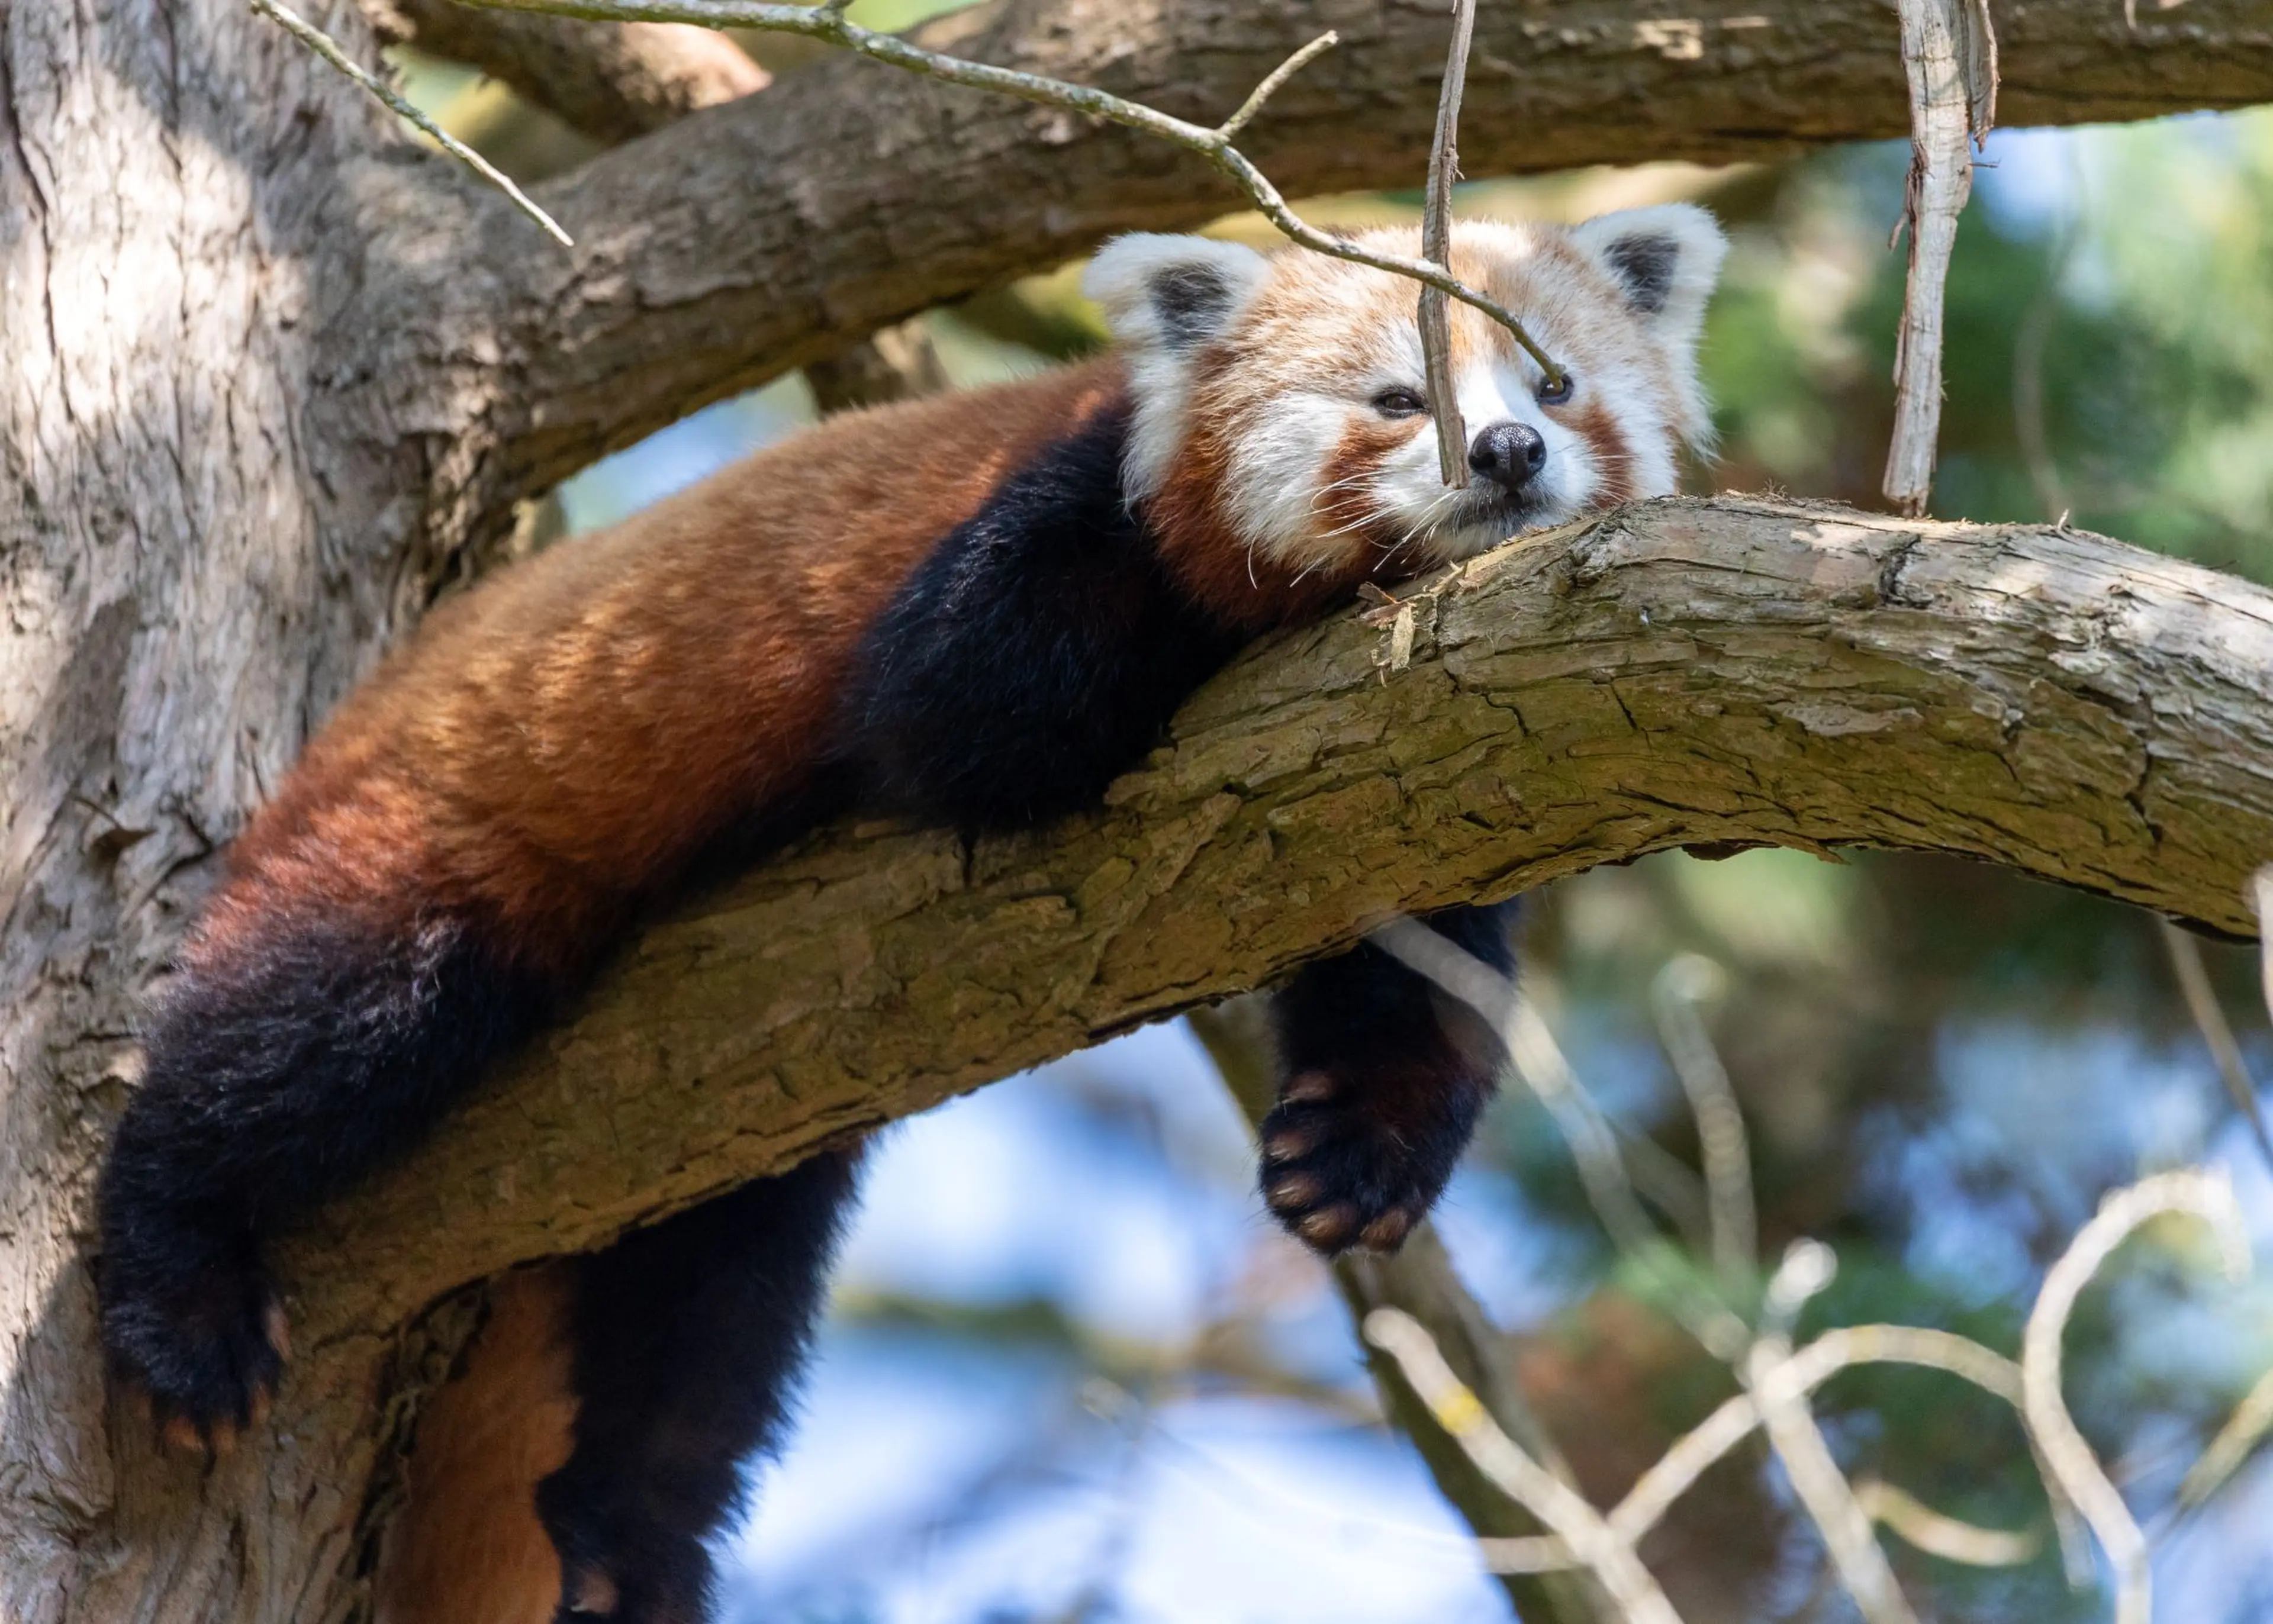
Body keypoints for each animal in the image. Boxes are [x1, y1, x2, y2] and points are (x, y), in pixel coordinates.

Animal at [95, 206, 1727, 1623]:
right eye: (1400, 397)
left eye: (1554, 382)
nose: (1508, 449)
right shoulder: (1036, 538)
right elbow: (972, 701)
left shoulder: (1453, 761)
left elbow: (1421, 967)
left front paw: (1354, 1154)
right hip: (423, 846)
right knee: (299, 1030)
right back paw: (178, 1275)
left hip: (711, 1144)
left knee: (705, 1331)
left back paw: (628, 1547)